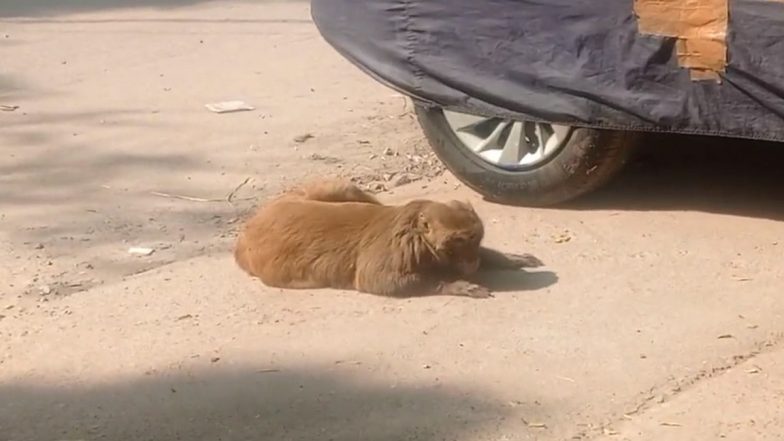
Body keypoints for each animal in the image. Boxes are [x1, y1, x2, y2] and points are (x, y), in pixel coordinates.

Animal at [233, 180, 544, 300]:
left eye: (474, 239)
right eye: (457, 244)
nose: (471, 263)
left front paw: (504, 258)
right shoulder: (395, 252)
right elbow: (380, 281)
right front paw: (455, 284)